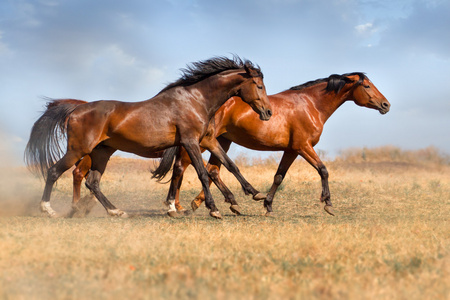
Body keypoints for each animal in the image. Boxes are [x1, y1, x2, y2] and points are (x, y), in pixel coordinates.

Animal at [26, 55, 272, 218]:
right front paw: (214, 209)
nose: (268, 112)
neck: (196, 100)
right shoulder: (190, 142)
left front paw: (253, 195)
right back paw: (49, 209)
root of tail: (76, 110)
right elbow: (202, 173)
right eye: (259, 86)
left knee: (92, 182)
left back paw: (115, 211)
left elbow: (229, 166)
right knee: (55, 172)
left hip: (102, 153)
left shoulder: (207, 141)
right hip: (78, 150)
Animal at [158, 73, 390, 218]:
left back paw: (225, 203)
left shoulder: (291, 150)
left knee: (213, 170)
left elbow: (279, 176)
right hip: (200, 142)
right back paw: (176, 207)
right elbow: (323, 170)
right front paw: (328, 204)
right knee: (181, 168)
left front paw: (267, 205)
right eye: (367, 86)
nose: (386, 105)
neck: (310, 104)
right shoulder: (303, 147)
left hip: (222, 141)